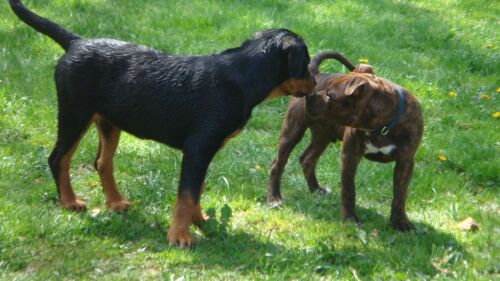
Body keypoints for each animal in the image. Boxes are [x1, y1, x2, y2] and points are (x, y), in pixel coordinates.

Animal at [8, 0, 316, 246]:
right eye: (307, 60)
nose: (315, 83)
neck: (243, 76)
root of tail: (76, 42)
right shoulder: (198, 148)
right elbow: (186, 194)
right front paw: (180, 236)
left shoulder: (204, 152)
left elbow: (197, 189)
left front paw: (200, 221)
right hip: (75, 113)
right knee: (59, 157)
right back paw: (69, 201)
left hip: (109, 121)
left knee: (102, 161)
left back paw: (115, 202)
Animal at [270, 52, 422, 230]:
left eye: (329, 95)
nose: (309, 96)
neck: (381, 125)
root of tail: (316, 73)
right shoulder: (350, 156)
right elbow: (349, 190)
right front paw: (349, 219)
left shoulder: (405, 161)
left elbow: (400, 192)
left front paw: (400, 222)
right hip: (292, 130)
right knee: (278, 164)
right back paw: (274, 198)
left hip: (322, 136)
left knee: (307, 159)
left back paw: (316, 189)